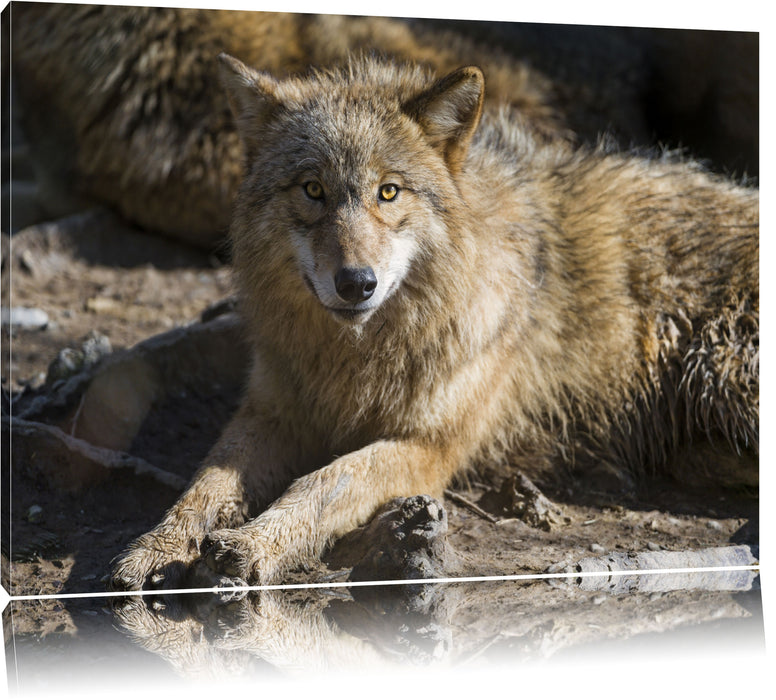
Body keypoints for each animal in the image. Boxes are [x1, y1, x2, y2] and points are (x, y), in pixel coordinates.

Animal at [110, 55, 758, 590]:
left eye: (389, 192)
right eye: (313, 189)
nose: (356, 283)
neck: (359, 356)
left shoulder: (428, 447)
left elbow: (325, 481)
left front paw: (252, 545)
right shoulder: (274, 411)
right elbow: (203, 484)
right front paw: (157, 545)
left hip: (721, 368)